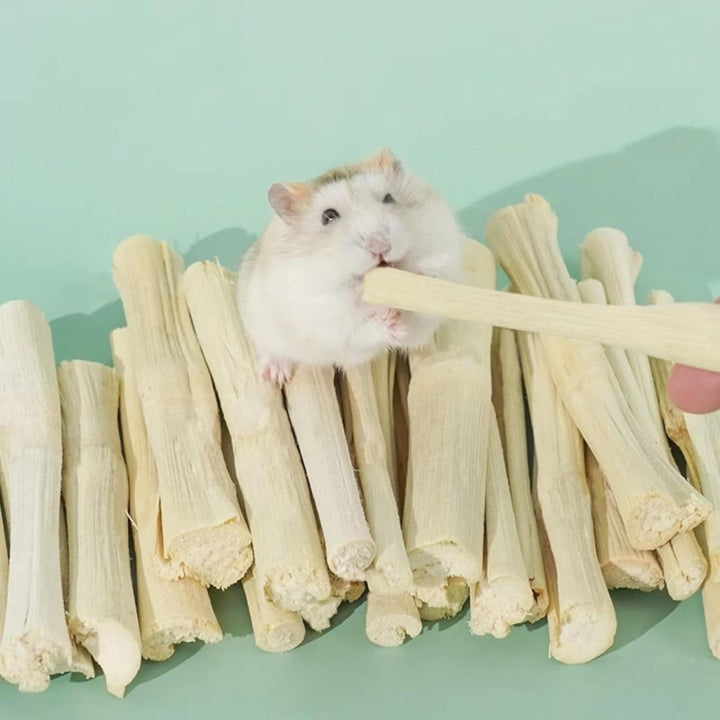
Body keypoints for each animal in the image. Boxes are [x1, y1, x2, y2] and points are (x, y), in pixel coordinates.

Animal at [236, 148, 464, 385]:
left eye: (389, 198)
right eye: (328, 216)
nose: (380, 246)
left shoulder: (444, 262)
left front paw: (415, 289)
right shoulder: (323, 314)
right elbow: (359, 325)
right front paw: (391, 322)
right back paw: (276, 375)